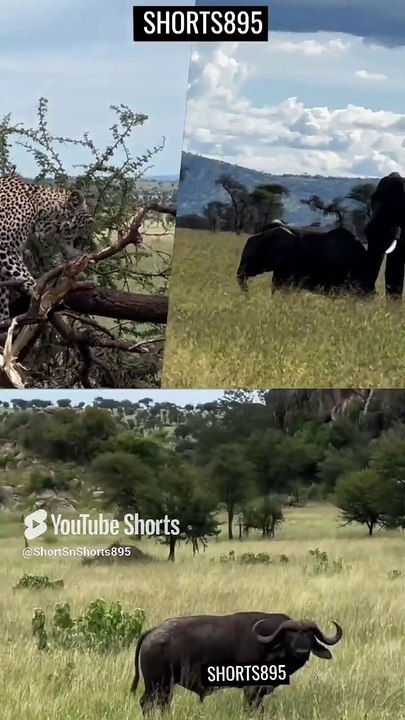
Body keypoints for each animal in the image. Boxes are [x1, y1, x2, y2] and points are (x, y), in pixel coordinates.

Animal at [0, 175, 93, 321]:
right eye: (90, 222)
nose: (89, 247)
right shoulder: (5, 246)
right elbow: (25, 277)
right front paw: (44, 298)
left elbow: (2, 298)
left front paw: (3, 318)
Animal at [130, 612, 343, 713]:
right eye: (290, 636)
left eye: (309, 636)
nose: (301, 652)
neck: (267, 645)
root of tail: (153, 631)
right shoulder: (251, 689)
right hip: (156, 684)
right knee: (146, 703)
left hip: (165, 687)